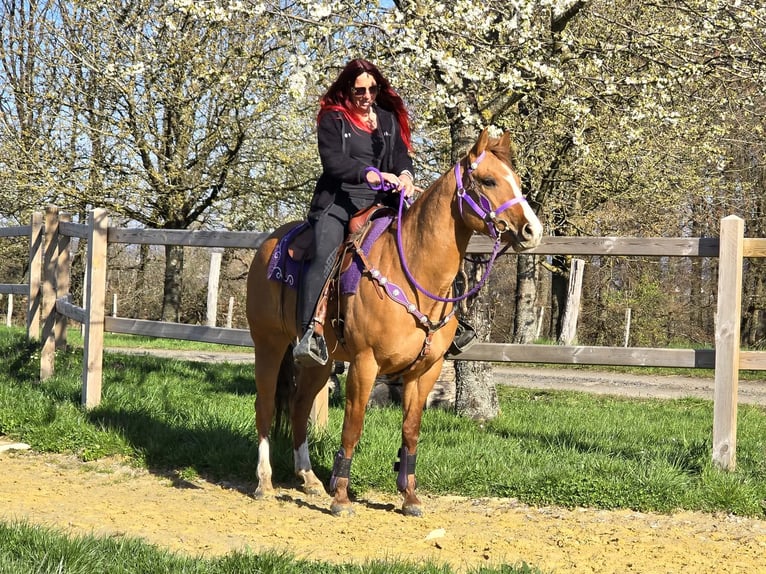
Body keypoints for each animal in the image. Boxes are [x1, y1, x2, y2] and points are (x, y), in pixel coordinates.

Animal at [245, 128, 543, 516]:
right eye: (490, 180)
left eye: (518, 181)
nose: (532, 230)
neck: (413, 272)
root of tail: (269, 243)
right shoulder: (365, 364)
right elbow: (352, 427)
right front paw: (341, 497)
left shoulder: (426, 370)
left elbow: (411, 430)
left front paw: (409, 496)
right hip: (268, 343)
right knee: (265, 406)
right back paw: (264, 482)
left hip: (319, 362)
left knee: (298, 407)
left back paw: (309, 479)